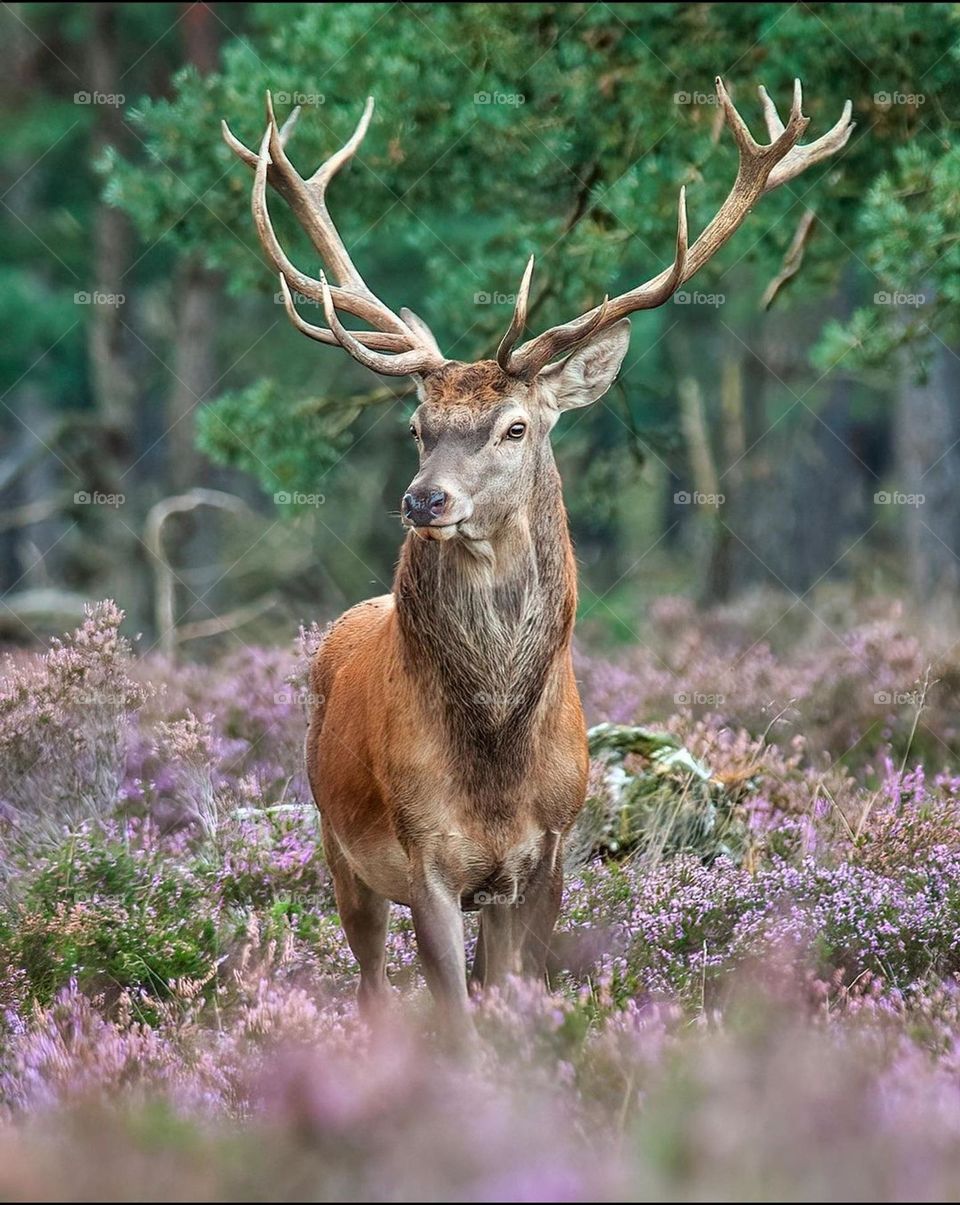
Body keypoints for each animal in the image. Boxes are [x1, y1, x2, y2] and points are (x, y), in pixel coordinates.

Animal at [223, 78, 853, 1034]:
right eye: (419, 427)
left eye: (514, 426)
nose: (423, 500)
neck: (494, 762)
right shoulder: (426, 858)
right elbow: (456, 1023)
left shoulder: (550, 851)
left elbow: (519, 1003)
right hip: (339, 848)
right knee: (370, 985)